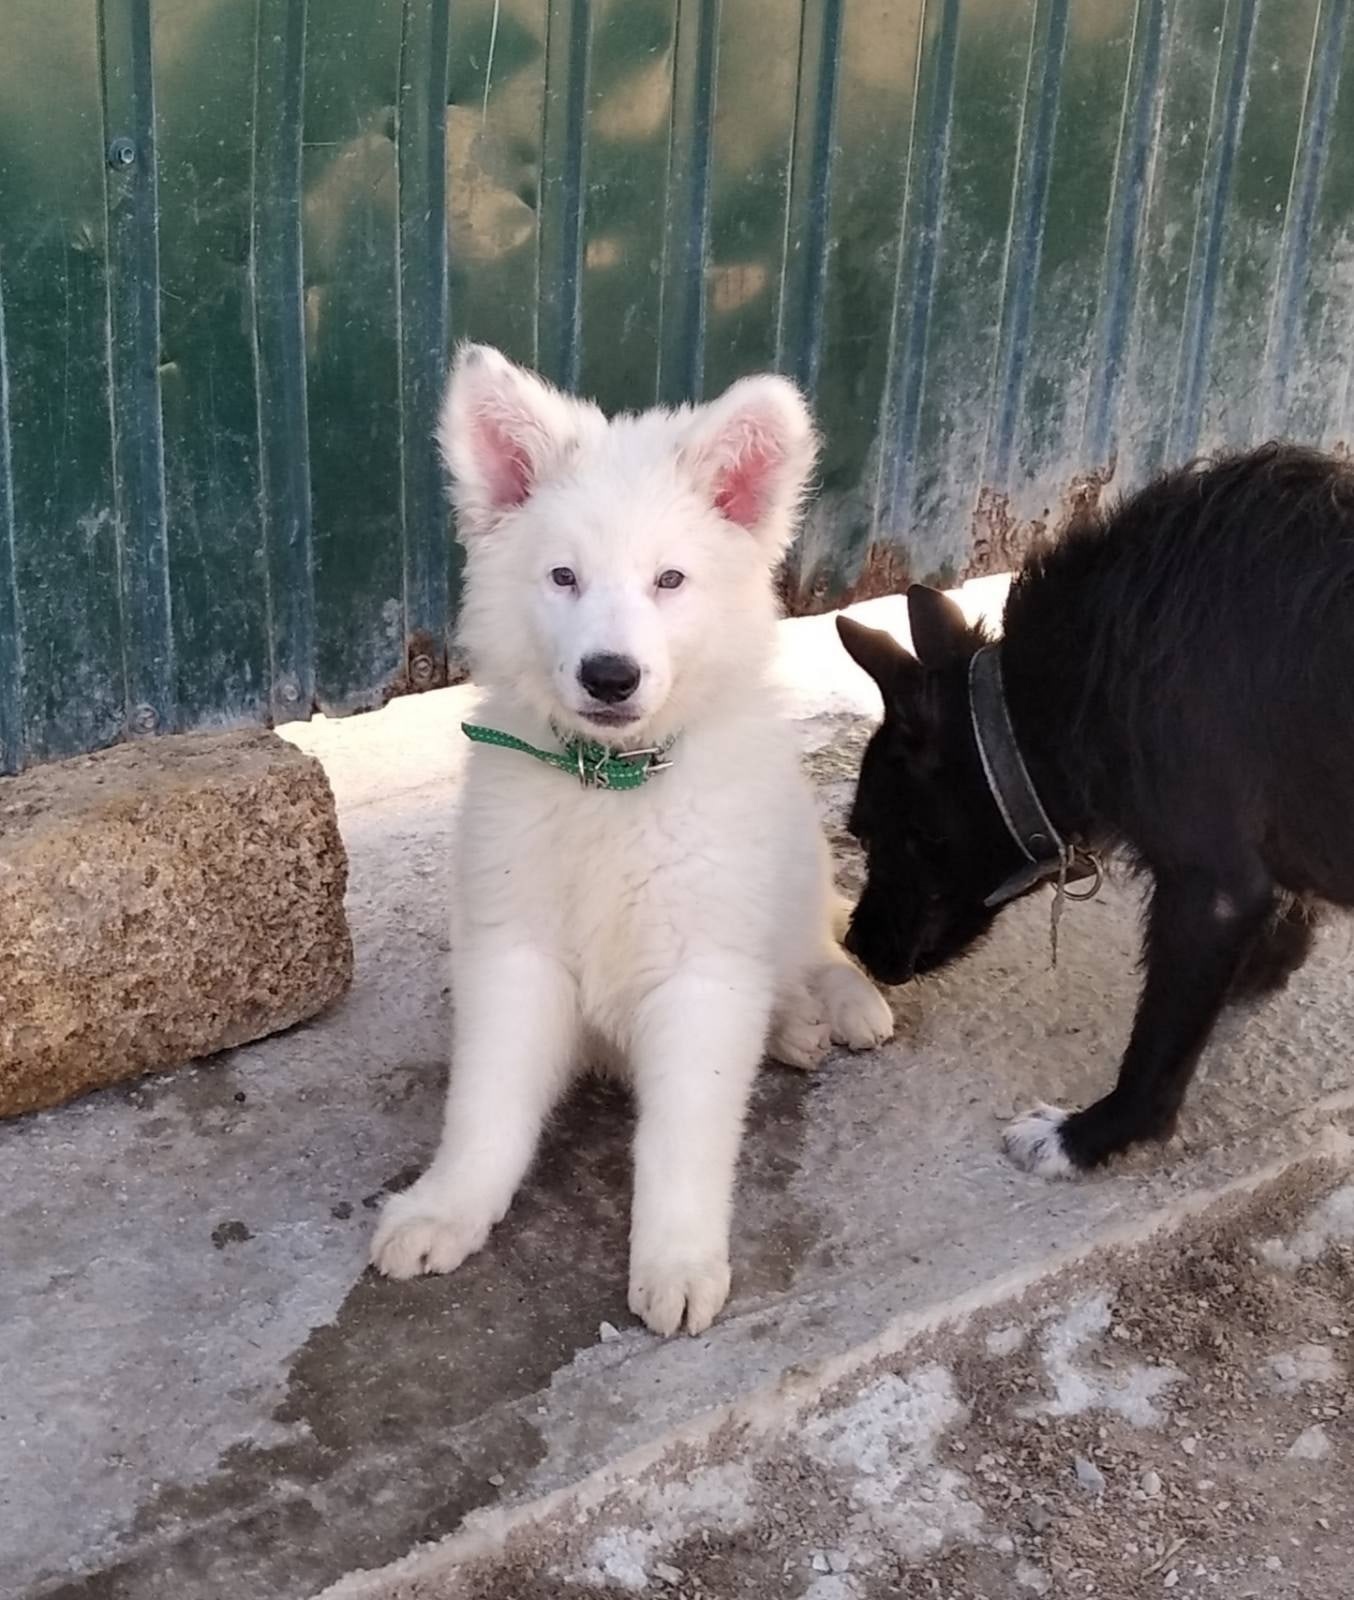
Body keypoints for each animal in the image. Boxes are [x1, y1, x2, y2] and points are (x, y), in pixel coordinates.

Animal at [371, 350, 896, 1337]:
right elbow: (485, 1109)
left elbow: (686, 1139)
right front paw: (446, 1207)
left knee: (817, 942)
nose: (610, 676)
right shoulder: (516, 952)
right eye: (563, 577)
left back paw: (836, 1005)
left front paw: (678, 1260)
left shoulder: (702, 974)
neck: (608, 784)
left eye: (671, 580)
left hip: (789, 866)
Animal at [838, 444, 1354, 1184]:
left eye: (879, 835)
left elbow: (1156, 1049)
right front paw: (1259, 970)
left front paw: (1086, 1137)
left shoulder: (1213, 889)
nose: (855, 945)